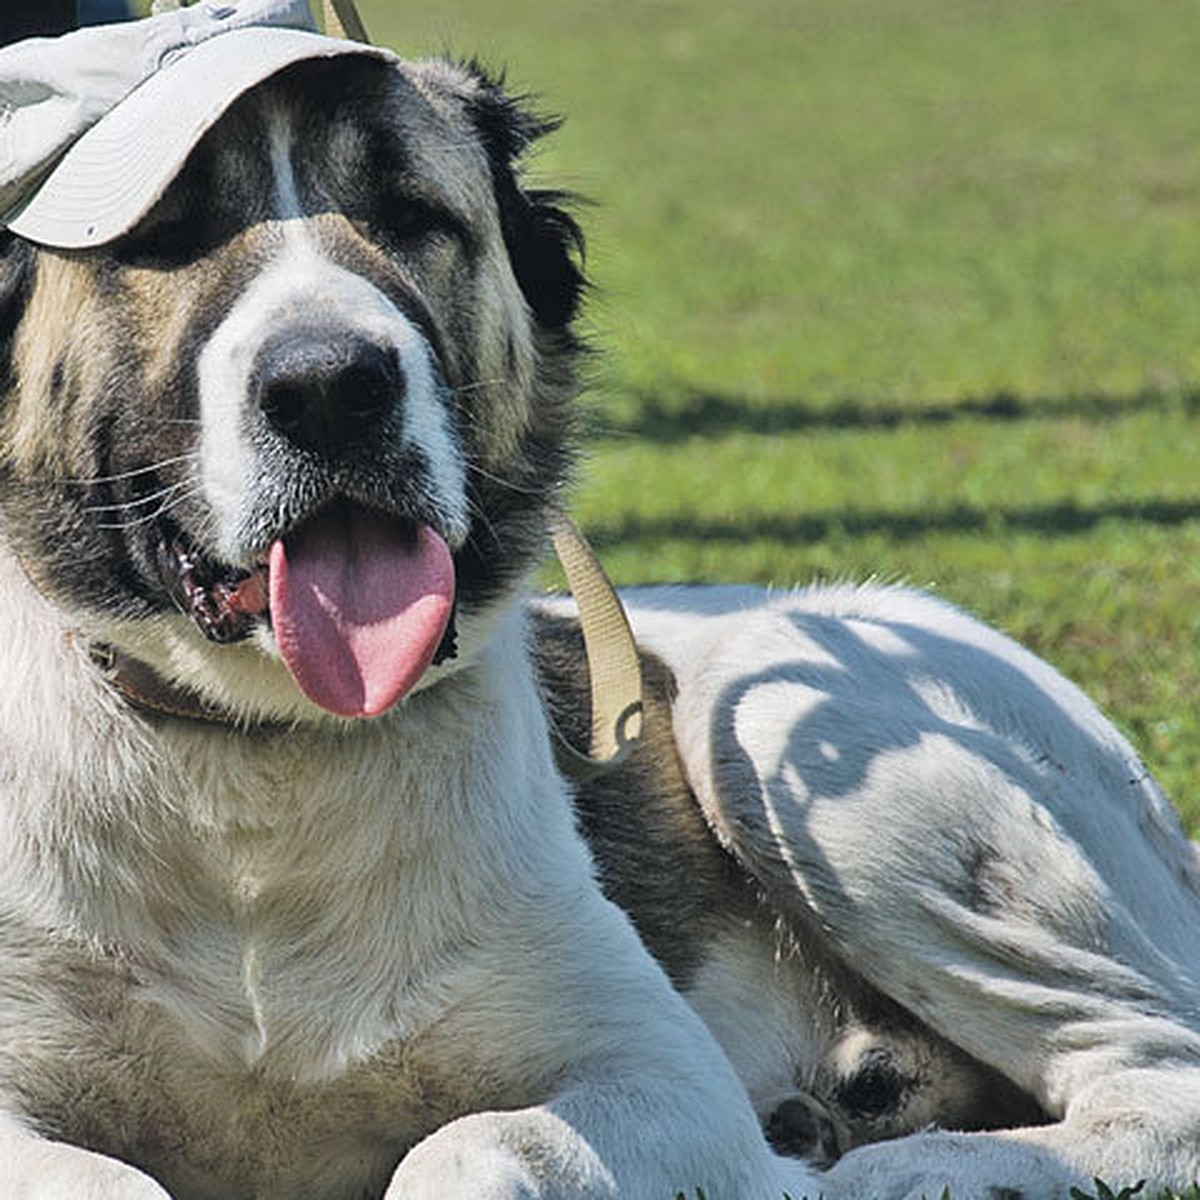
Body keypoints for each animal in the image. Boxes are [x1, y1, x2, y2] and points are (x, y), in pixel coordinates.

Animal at [2, 16, 1200, 1200]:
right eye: (167, 239)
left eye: (411, 216)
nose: (333, 386)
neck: (256, 759)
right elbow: (110, 1180)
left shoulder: (661, 1075)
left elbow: (475, 1140)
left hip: (774, 720)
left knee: (1159, 1074)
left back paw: (905, 1167)